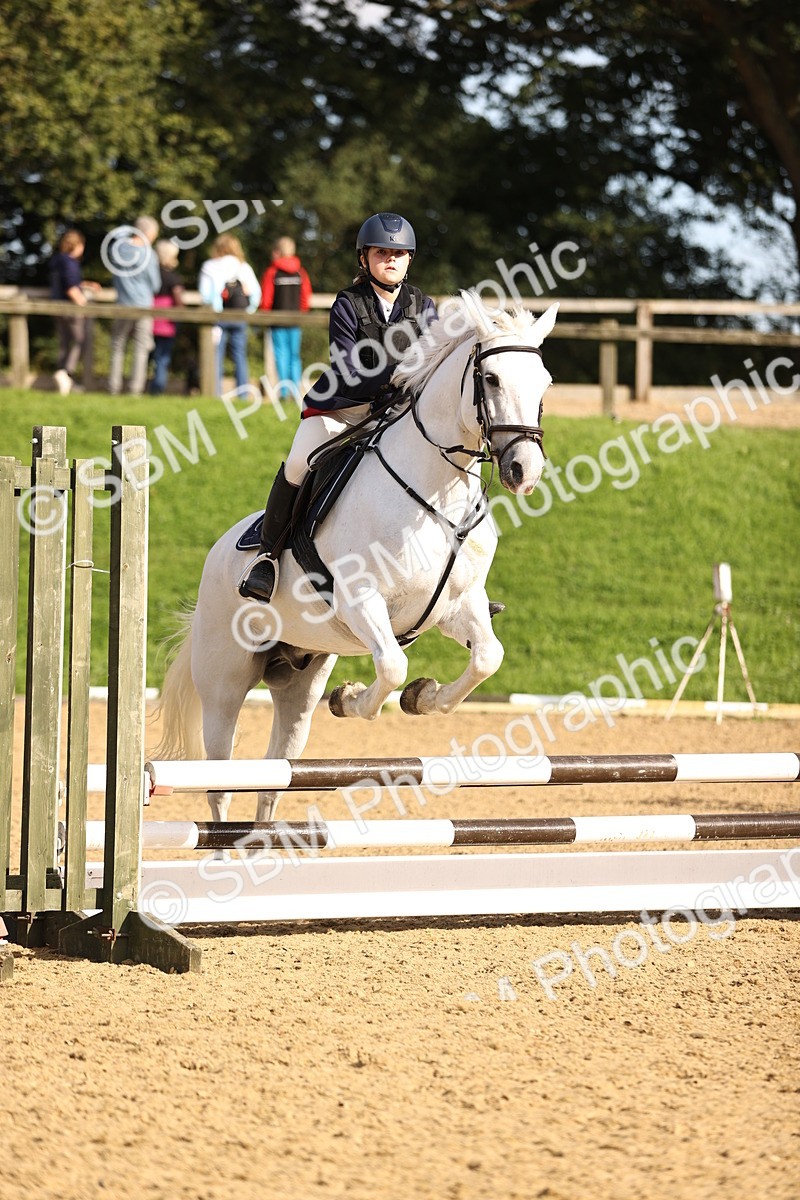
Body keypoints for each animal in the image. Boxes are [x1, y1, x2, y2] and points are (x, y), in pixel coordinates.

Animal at [156, 291, 558, 821]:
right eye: (490, 379)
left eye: (544, 384)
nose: (523, 470)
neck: (434, 490)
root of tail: (218, 554)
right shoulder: (360, 599)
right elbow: (391, 666)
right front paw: (350, 700)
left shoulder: (456, 605)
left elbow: (487, 657)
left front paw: (423, 698)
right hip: (224, 682)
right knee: (219, 783)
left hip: (298, 682)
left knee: (272, 775)